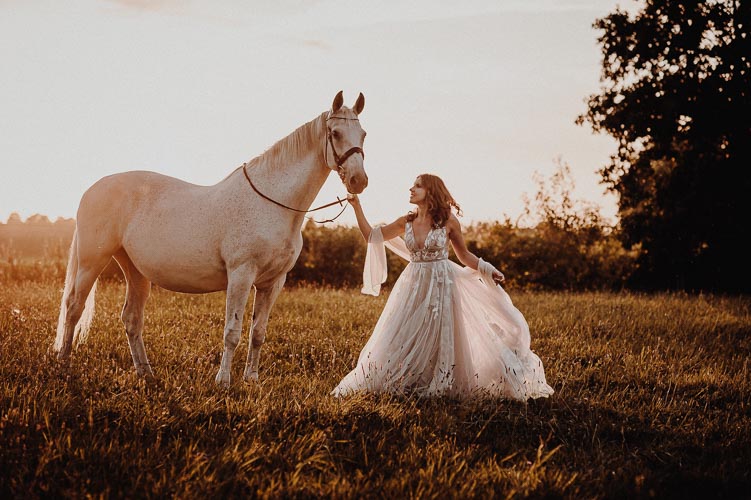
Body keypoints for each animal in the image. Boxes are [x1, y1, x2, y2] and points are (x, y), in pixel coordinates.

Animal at [52, 91, 368, 386]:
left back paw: (146, 373)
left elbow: (258, 333)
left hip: (135, 270)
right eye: (335, 133)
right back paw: (64, 365)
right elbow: (232, 332)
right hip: (93, 261)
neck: (273, 202)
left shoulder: (273, 283)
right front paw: (223, 381)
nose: (359, 181)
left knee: (131, 318)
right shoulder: (241, 275)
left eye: (363, 134)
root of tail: (92, 189)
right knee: (73, 308)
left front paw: (251, 379)